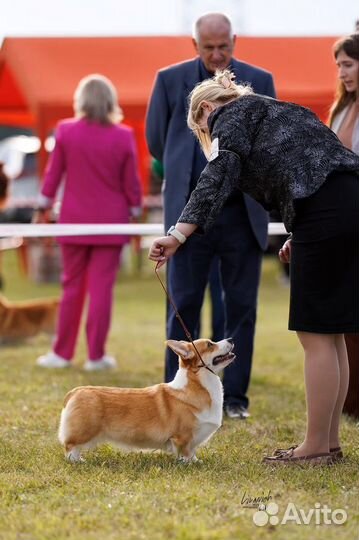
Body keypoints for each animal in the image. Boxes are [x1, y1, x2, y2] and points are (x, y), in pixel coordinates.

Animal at [58, 336, 236, 462]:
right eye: (210, 344)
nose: (231, 339)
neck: (197, 384)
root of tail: (75, 391)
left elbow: (192, 452)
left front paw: (196, 461)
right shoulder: (183, 437)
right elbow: (185, 452)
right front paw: (188, 464)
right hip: (84, 431)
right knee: (70, 446)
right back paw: (76, 461)